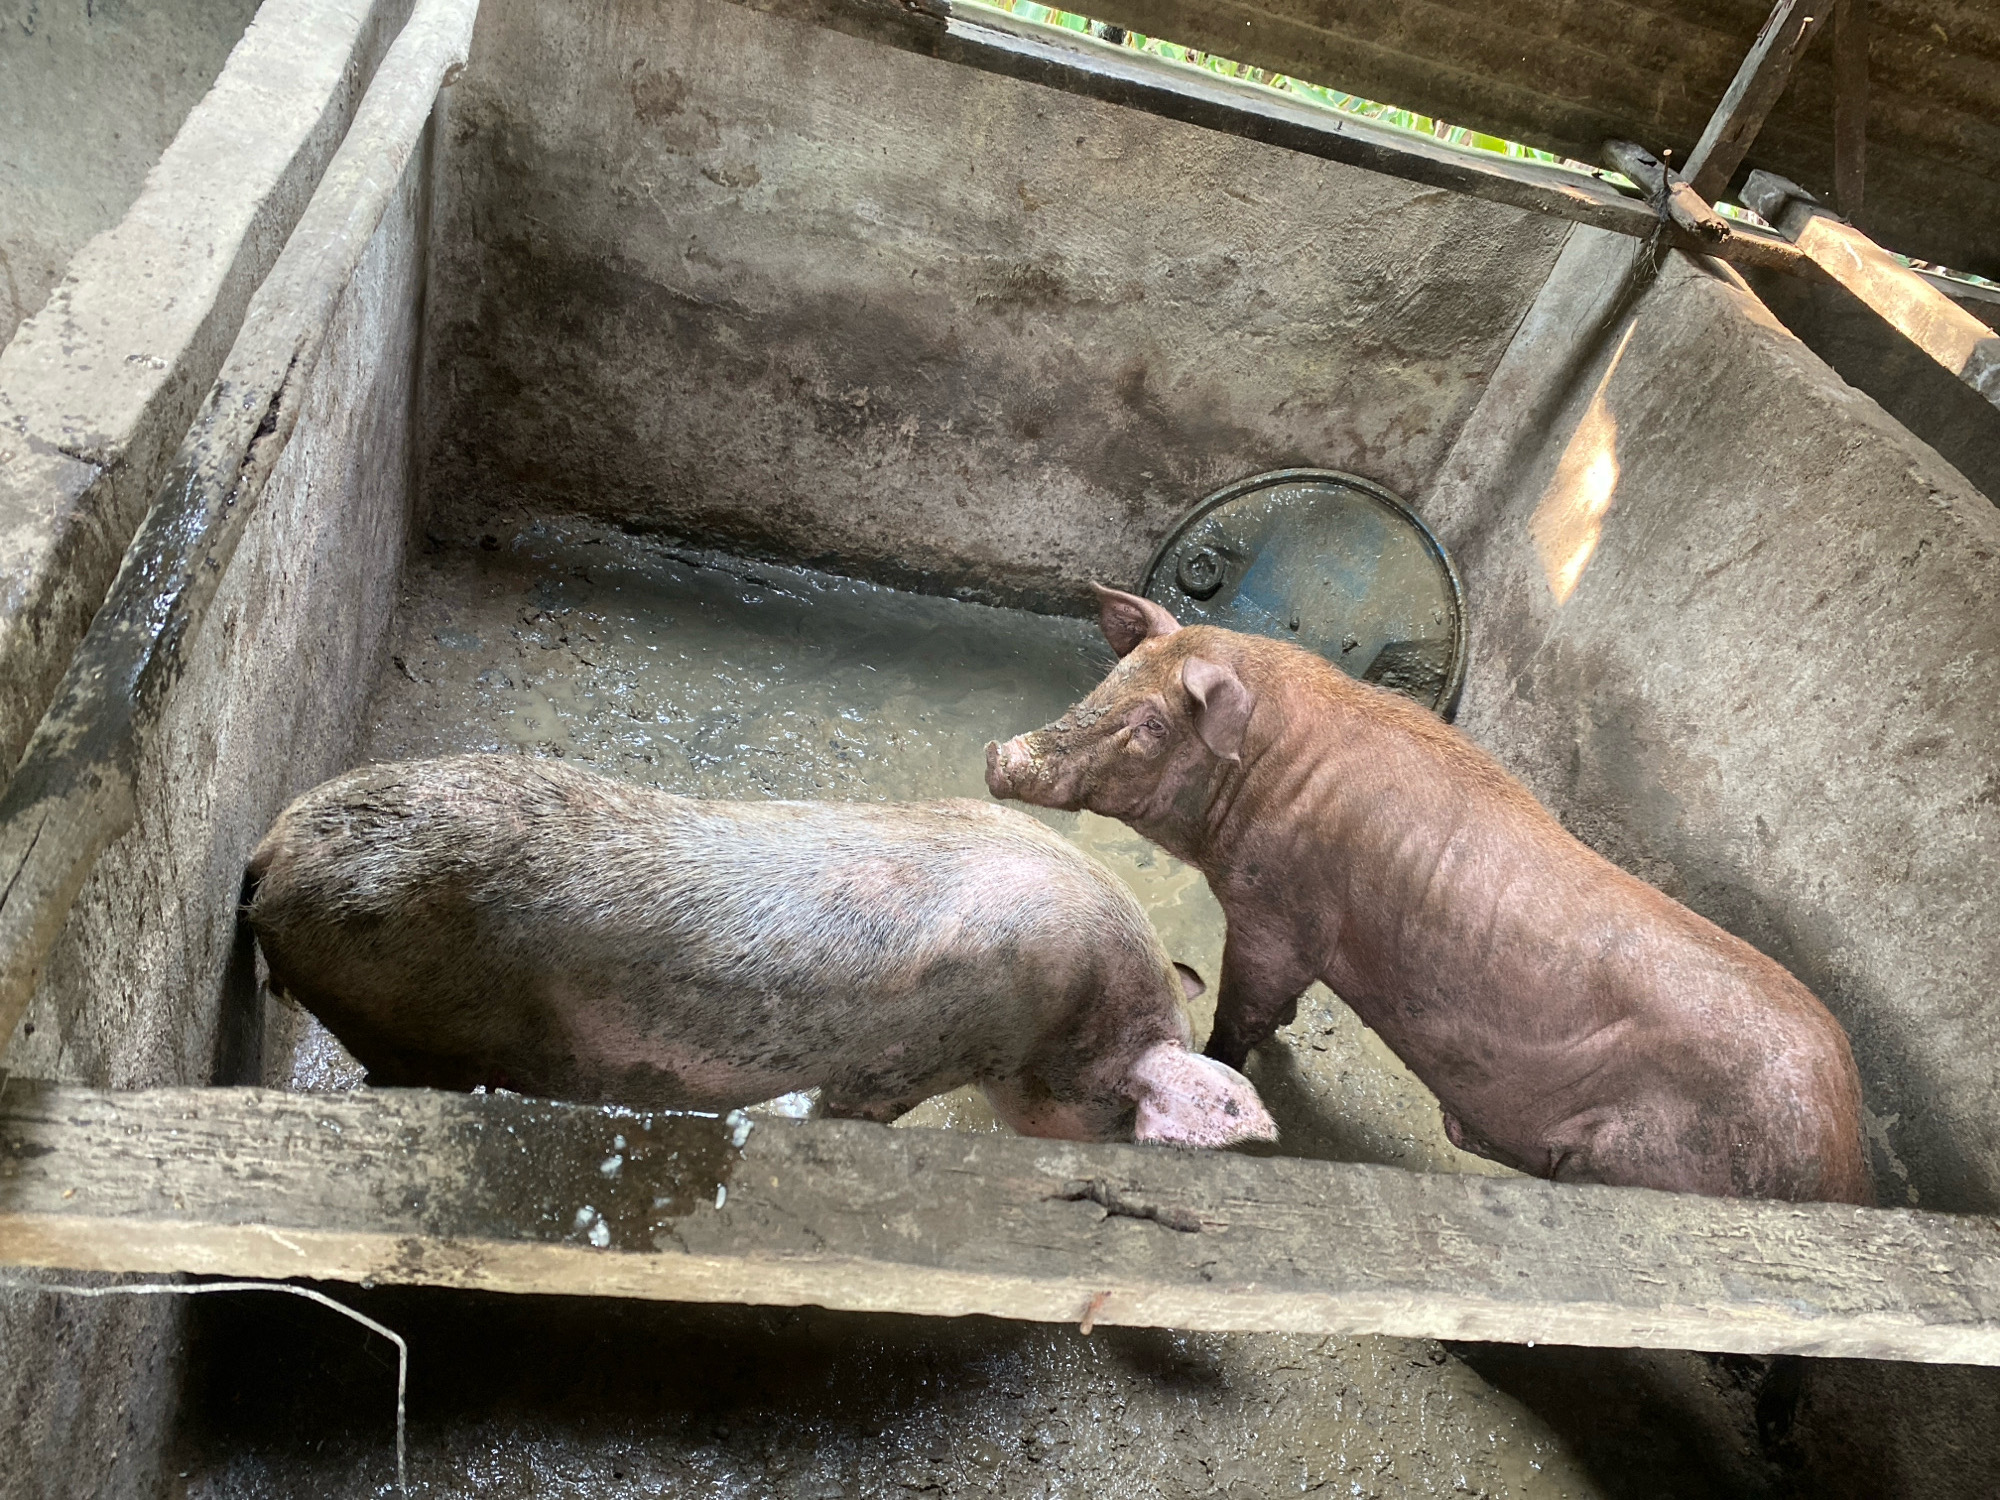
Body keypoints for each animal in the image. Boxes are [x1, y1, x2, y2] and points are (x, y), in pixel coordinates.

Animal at [985, 586, 1872, 1204]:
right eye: (1109, 679)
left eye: (1151, 726)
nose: (1000, 755)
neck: (1266, 767)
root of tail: (1844, 1158)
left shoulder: (1280, 912)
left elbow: (1246, 1010)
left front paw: (1231, 1058)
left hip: (1635, 1159)